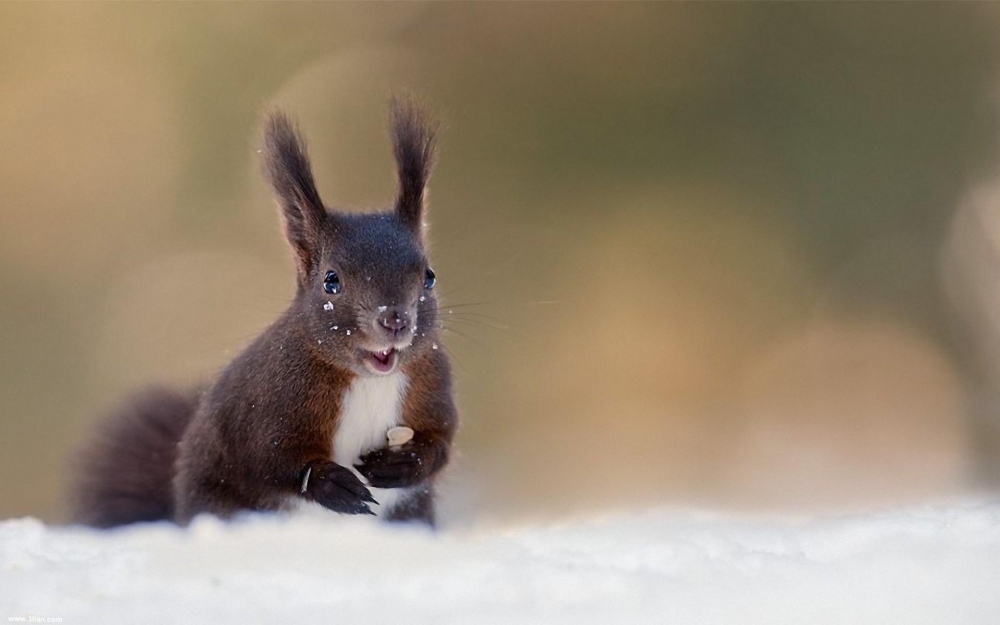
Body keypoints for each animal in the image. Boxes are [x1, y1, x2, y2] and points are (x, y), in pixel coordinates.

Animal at [71, 98, 458, 528]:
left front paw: (406, 462)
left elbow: (441, 443)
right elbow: (269, 459)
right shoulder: (267, 404)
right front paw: (329, 483)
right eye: (331, 281)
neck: (368, 380)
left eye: (429, 276)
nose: (394, 319)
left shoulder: (433, 384)